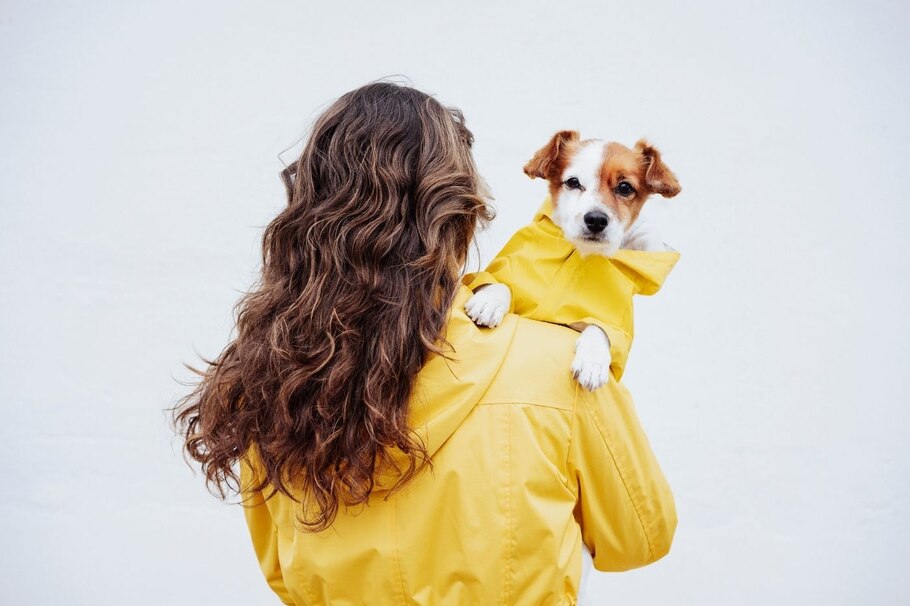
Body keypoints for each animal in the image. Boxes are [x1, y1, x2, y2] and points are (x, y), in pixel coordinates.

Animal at [466, 131, 680, 392]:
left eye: (625, 187)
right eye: (573, 182)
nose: (596, 219)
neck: (581, 251)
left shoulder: (608, 322)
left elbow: (600, 328)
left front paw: (592, 362)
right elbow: (500, 283)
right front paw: (489, 301)